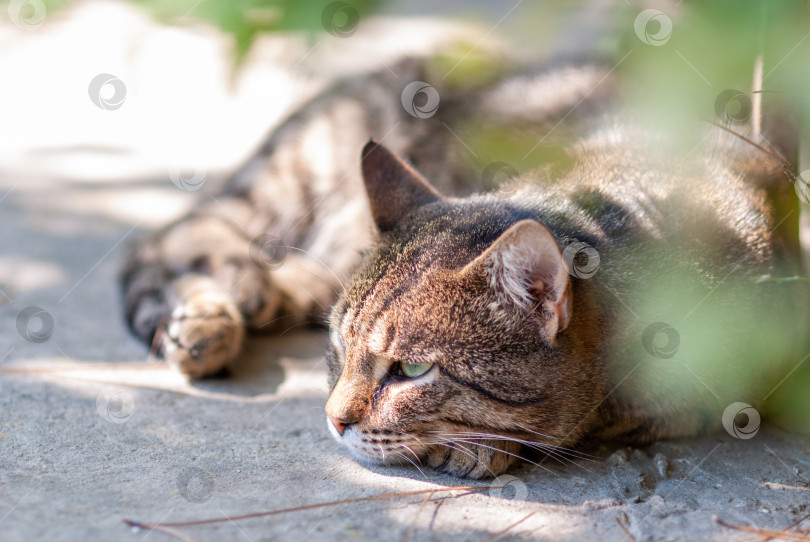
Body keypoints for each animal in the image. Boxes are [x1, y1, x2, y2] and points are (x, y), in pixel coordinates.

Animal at [118, 57, 800, 478]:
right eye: (337, 349)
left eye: (412, 371)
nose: (333, 420)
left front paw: (487, 445)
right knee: (175, 239)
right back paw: (209, 315)